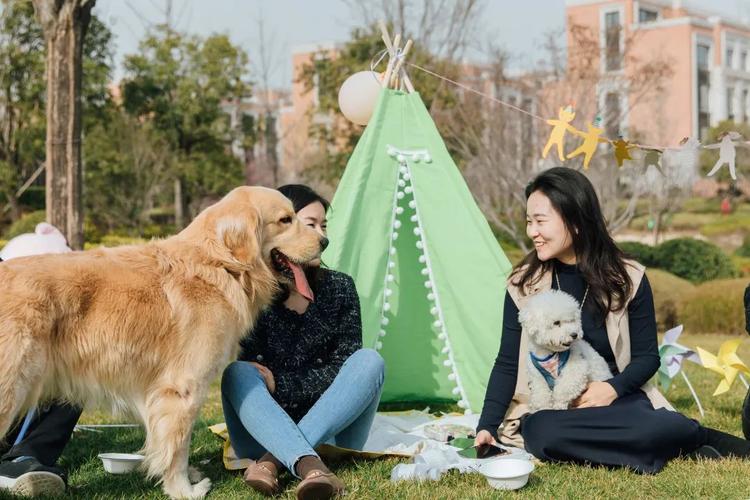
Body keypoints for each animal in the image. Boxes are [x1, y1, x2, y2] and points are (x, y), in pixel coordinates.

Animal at [0, 187, 326, 496]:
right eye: (285, 220)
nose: (325, 241)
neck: (222, 264)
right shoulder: (182, 389)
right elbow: (178, 447)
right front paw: (184, 490)